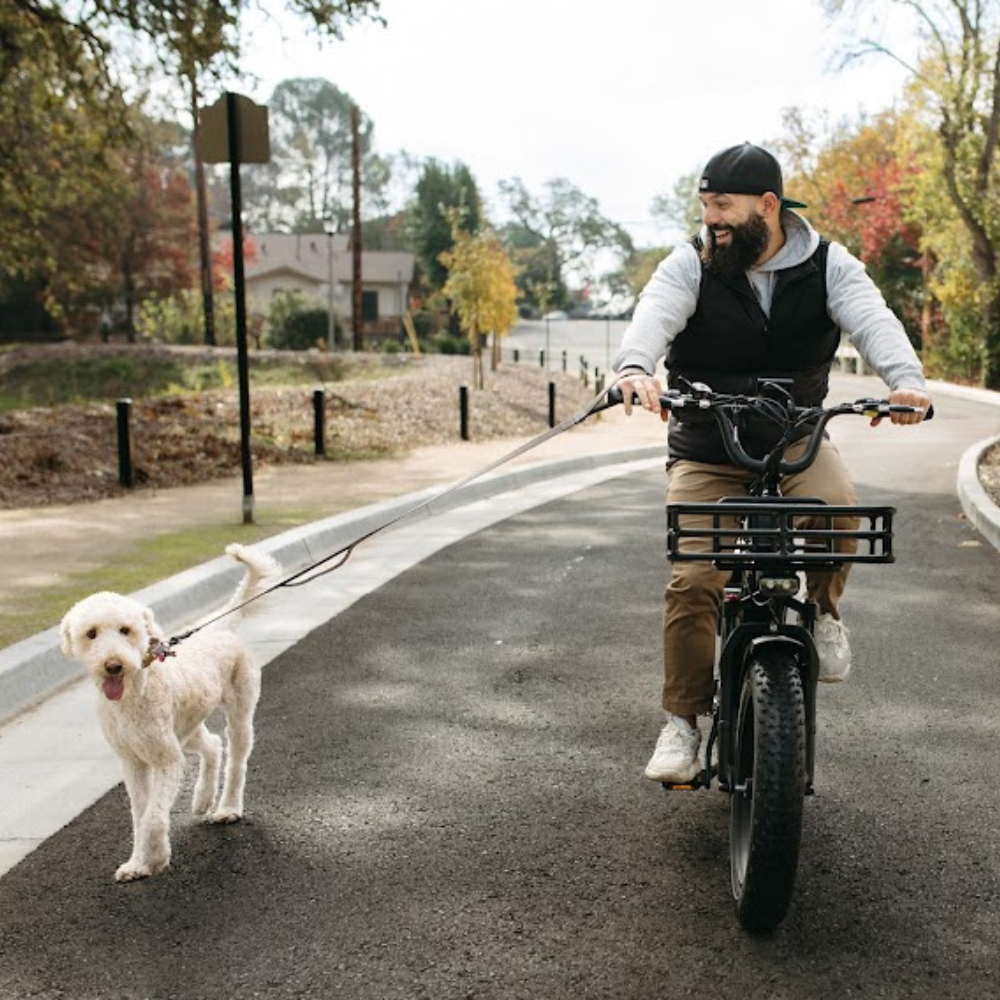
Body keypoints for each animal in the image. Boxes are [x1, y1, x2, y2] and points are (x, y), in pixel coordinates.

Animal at [59, 544, 282, 880]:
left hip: (238, 715)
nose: (113, 665)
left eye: (125, 630)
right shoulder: (134, 762)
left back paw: (228, 808)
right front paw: (138, 863)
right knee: (213, 745)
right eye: (91, 633)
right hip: (186, 729)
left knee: (236, 761)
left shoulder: (167, 761)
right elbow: (141, 815)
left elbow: (153, 816)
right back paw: (203, 798)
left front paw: (157, 858)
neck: (134, 693)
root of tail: (220, 629)